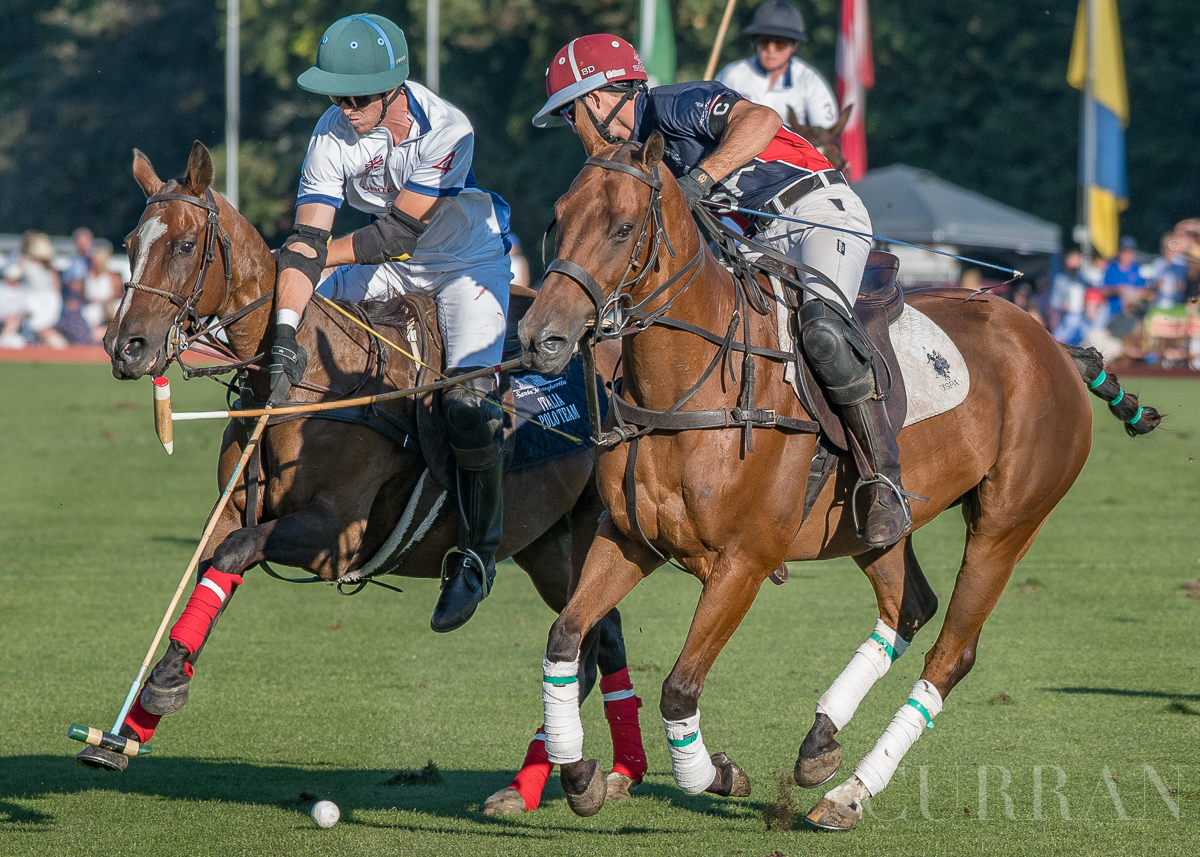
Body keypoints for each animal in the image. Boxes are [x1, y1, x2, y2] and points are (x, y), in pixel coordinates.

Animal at [91, 141, 648, 814]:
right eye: (129, 241)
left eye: (183, 244)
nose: (125, 348)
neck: (295, 385)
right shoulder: (235, 509)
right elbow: (212, 563)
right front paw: (130, 727)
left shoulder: (337, 536)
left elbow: (235, 551)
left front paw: (160, 689)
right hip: (548, 543)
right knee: (600, 637)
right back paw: (565, 780)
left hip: (589, 528)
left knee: (586, 644)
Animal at [516, 119, 1160, 828]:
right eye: (558, 218)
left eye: (624, 228)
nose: (539, 338)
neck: (688, 390)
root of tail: (1054, 344)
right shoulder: (630, 538)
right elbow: (565, 636)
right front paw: (579, 773)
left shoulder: (742, 561)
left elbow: (680, 687)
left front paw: (717, 774)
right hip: (874, 527)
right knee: (908, 606)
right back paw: (820, 742)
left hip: (1009, 521)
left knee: (950, 653)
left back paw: (849, 793)